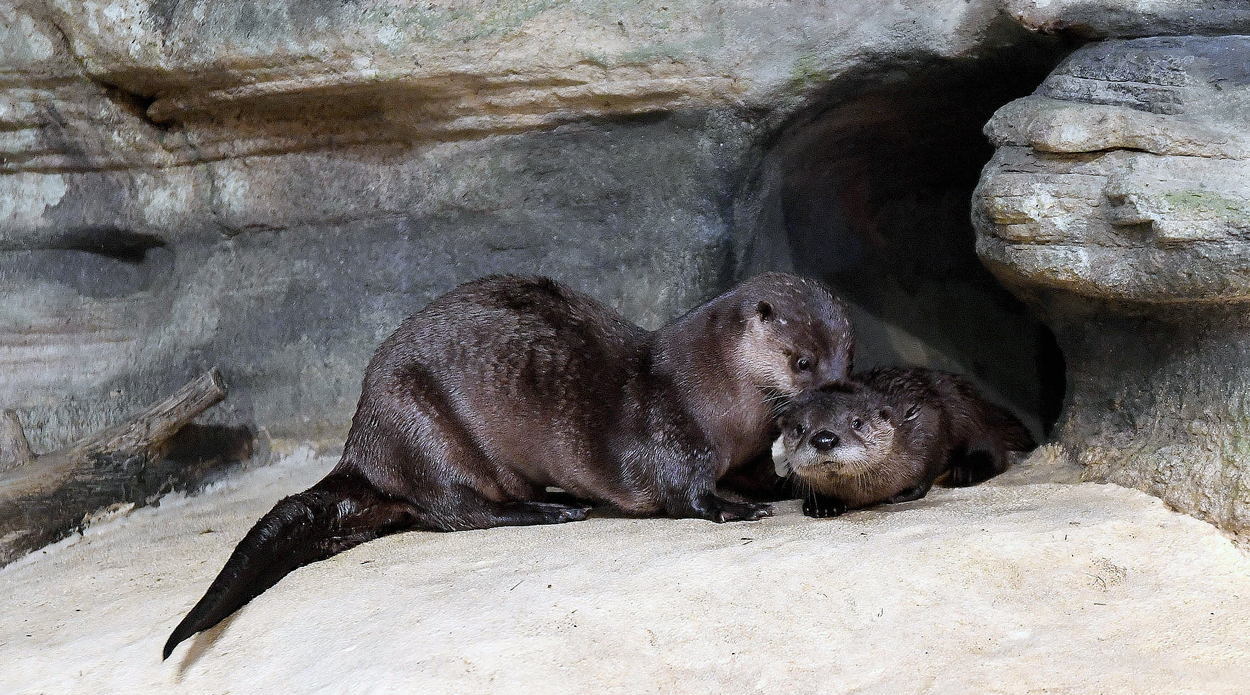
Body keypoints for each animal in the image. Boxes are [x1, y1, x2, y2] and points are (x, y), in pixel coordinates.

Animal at [164, 273, 853, 658]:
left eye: (846, 355)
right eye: (801, 362)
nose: (834, 398)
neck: (715, 395)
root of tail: (364, 447)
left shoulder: (745, 449)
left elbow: (758, 474)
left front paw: (791, 490)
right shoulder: (672, 431)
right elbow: (686, 493)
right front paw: (738, 508)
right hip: (421, 425)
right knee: (458, 511)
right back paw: (550, 509)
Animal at [772, 366, 1035, 518]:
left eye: (856, 422)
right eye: (800, 428)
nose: (824, 439)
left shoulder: (926, 419)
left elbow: (931, 460)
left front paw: (906, 492)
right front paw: (822, 504)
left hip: (968, 412)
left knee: (993, 449)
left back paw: (967, 470)